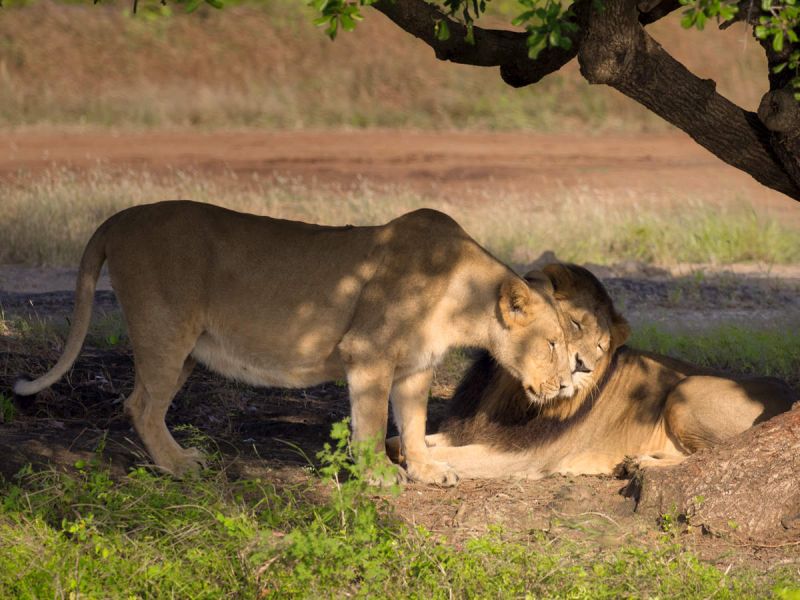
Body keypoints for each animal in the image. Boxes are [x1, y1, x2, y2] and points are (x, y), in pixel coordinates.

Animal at [14, 201, 575, 485]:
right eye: (551, 344)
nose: (571, 384)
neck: (462, 300)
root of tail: (119, 218)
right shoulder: (367, 353)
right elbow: (372, 422)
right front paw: (377, 475)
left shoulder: (415, 368)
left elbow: (413, 424)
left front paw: (426, 470)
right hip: (164, 331)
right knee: (140, 404)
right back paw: (177, 465)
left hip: (187, 349)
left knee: (145, 402)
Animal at [387, 263, 796, 479]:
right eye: (574, 324)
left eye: (600, 348)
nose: (581, 366)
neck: (510, 392)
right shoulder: (473, 430)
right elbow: (404, 441)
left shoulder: (518, 456)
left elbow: (440, 455)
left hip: (688, 389)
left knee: (713, 455)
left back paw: (641, 462)